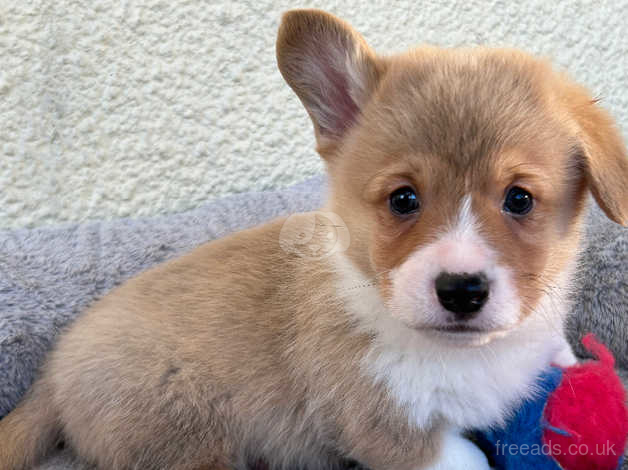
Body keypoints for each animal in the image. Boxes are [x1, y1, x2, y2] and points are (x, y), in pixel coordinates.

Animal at [1, 9, 628, 470]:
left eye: (519, 199)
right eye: (404, 199)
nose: (461, 291)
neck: (467, 352)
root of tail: (53, 371)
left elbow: (558, 352)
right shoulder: (391, 428)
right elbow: (464, 457)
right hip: (183, 435)